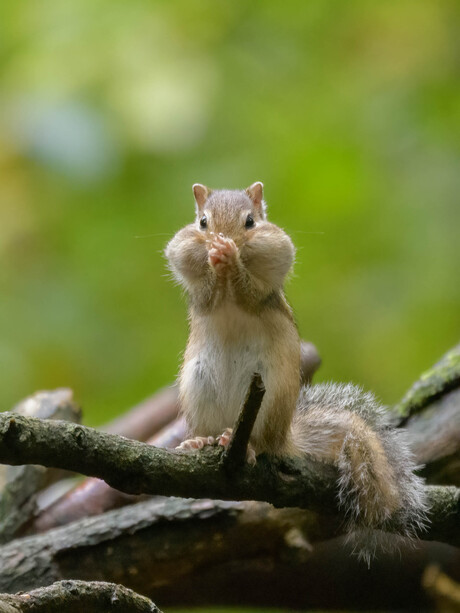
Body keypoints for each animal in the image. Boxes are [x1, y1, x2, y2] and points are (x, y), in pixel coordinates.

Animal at [165, 180, 428, 560]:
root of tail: (285, 437)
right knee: (209, 430)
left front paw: (230, 259)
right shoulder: (198, 295)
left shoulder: (266, 288)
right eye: (202, 222)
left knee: (264, 445)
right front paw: (217, 260)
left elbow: (250, 293)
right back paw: (202, 440)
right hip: (198, 388)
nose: (222, 239)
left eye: (250, 222)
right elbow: (206, 297)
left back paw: (245, 446)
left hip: (272, 396)